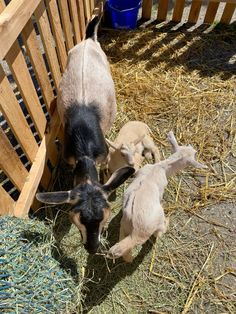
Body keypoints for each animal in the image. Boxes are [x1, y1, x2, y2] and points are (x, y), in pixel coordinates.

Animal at [36, 11, 134, 254]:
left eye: (105, 217)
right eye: (77, 218)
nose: (92, 247)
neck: (85, 147)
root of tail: (89, 39)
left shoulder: (102, 155)